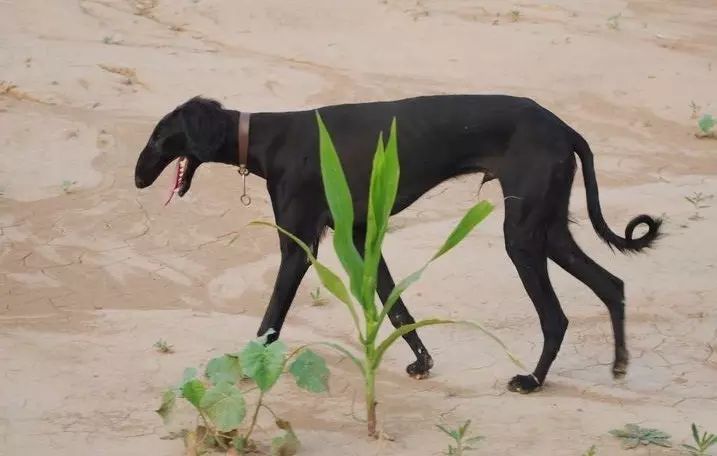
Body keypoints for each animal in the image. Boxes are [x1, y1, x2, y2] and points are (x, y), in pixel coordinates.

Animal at [134, 95, 660, 392]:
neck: (269, 138)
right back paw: (618, 365)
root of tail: (564, 127)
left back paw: (532, 381)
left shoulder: (300, 247)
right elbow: (396, 305)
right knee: (611, 284)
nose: (137, 178)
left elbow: (270, 320)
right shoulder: (361, 236)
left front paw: (248, 367)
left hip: (523, 238)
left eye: (159, 138)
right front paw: (423, 362)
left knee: (556, 316)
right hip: (547, 230)